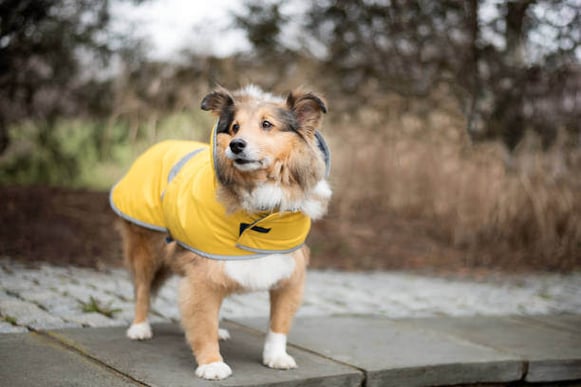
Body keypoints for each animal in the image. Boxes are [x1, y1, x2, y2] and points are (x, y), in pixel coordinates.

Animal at [109, 85, 330, 382]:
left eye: (267, 124)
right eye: (235, 127)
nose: (236, 145)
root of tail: (159, 145)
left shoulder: (288, 271)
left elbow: (278, 324)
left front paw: (276, 357)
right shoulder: (202, 274)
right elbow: (202, 322)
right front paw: (211, 363)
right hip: (146, 246)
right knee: (142, 287)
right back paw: (139, 328)